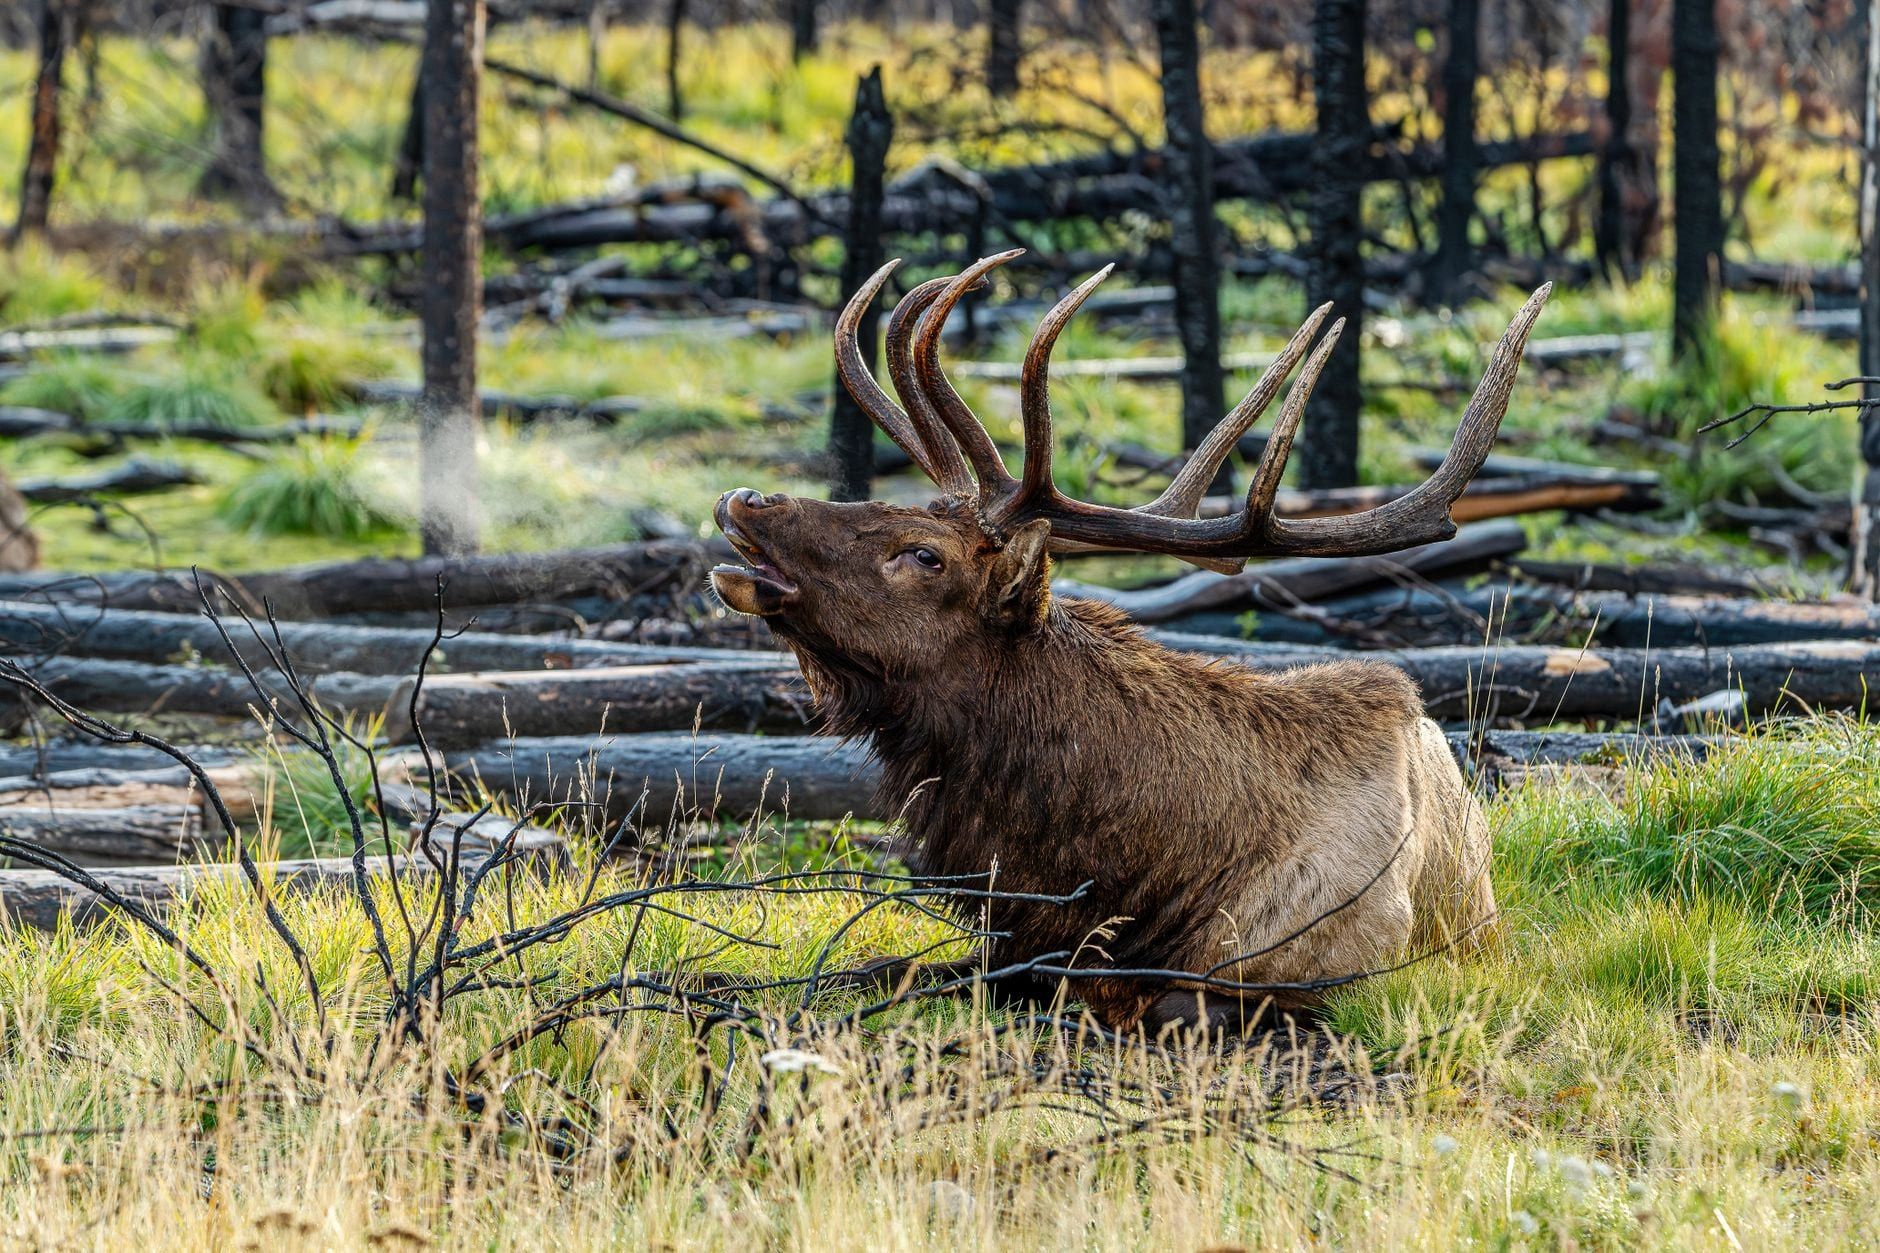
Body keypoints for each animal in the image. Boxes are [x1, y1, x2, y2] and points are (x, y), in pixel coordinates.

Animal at [710, 251, 1551, 1031]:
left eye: (923, 554)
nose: (745, 498)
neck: (1132, 880)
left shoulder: (1328, 978)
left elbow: (1154, 1005)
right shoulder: (1017, 943)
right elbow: (876, 969)